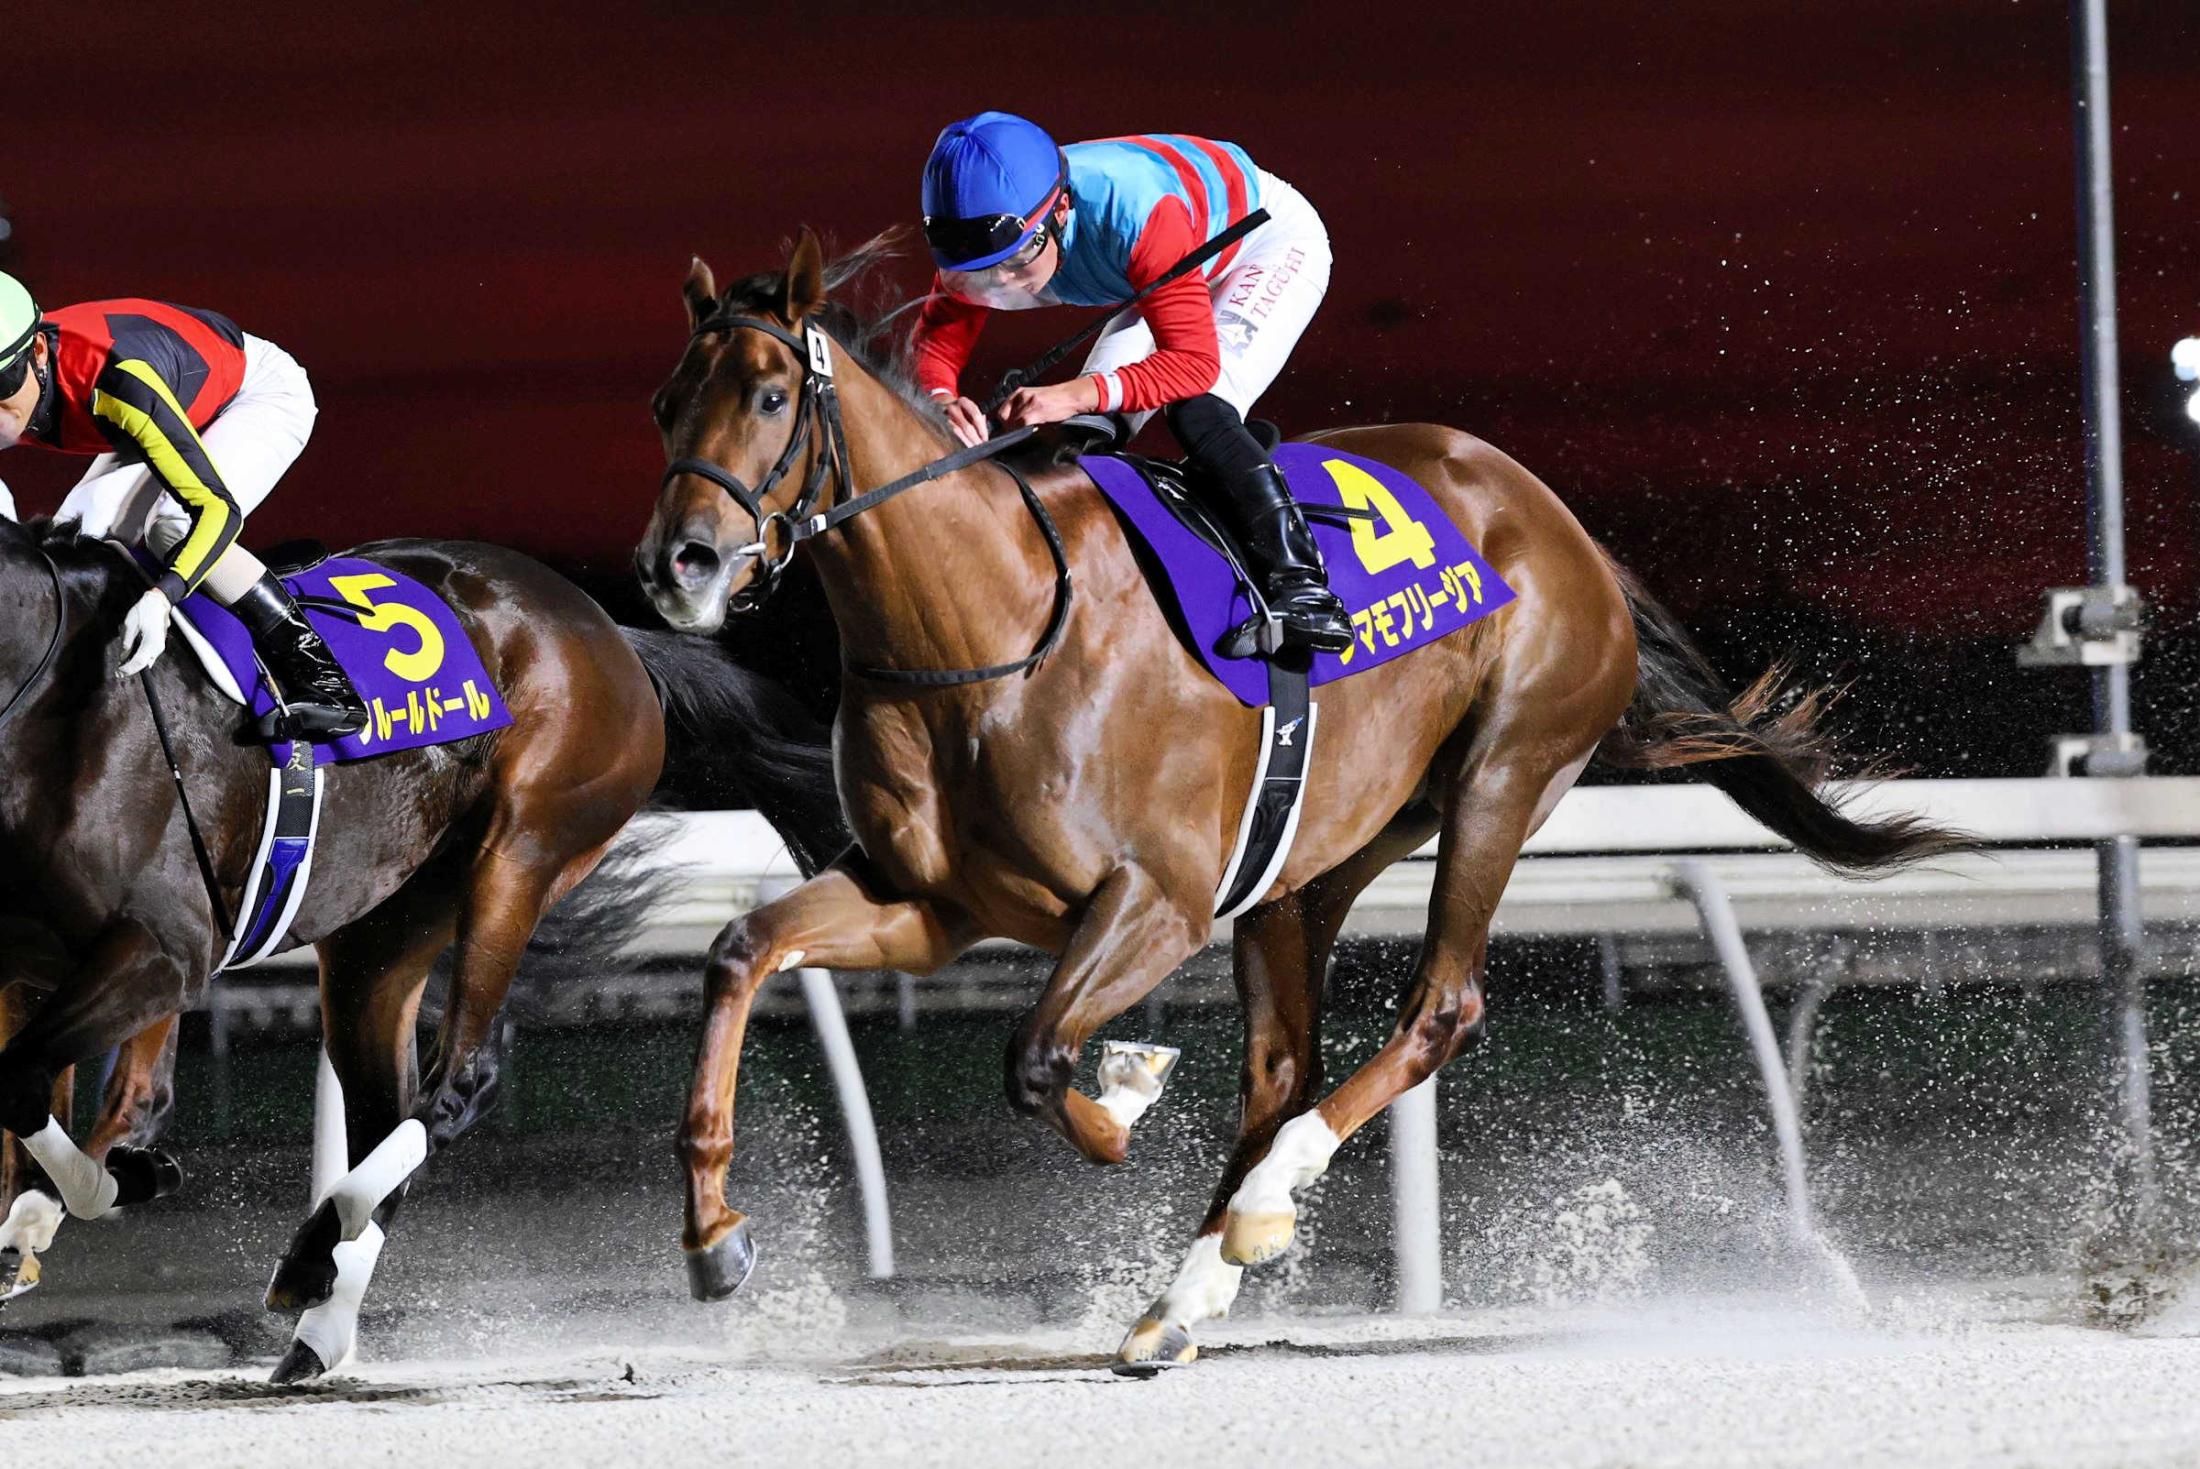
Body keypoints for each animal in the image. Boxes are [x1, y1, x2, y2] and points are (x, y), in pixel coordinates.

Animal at [0, 516, 843, 1381]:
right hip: (382, 928)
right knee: (384, 1108)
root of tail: (607, 629)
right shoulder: (36, 965)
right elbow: (39, 1099)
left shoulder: (165, 949)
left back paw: (316, 1251)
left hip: (523, 847)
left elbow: (30, 1086)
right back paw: (318, 1323)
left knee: (460, 1081)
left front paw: (87, 1194)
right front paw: (55, 1210)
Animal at [635, 231, 1960, 1373]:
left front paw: (1128, 1093)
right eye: (664, 402)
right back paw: (1184, 1295)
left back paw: (1260, 1208)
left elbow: (1037, 1056)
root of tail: (1559, 522)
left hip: (1502, 774)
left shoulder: (1157, 899)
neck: (991, 626)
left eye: (768, 395)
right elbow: (743, 949)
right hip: (1316, 852)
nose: (676, 563)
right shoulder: (930, 901)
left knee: (1438, 1009)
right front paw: (712, 1235)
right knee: (1282, 1062)